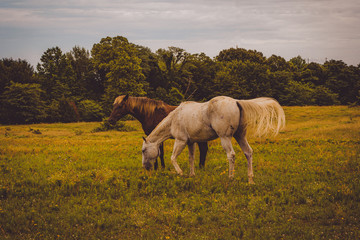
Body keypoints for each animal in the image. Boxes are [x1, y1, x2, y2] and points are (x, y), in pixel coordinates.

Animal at [141, 95, 284, 184]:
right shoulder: (191, 143)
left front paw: (181, 173)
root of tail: (236, 101)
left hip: (225, 138)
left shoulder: (180, 141)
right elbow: (191, 158)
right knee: (248, 153)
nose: (146, 167)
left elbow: (173, 158)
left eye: (143, 150)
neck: (174, 118)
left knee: (231, 155)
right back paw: (250, 180)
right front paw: (191, 175)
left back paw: (230, 177)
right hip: (240, 136)